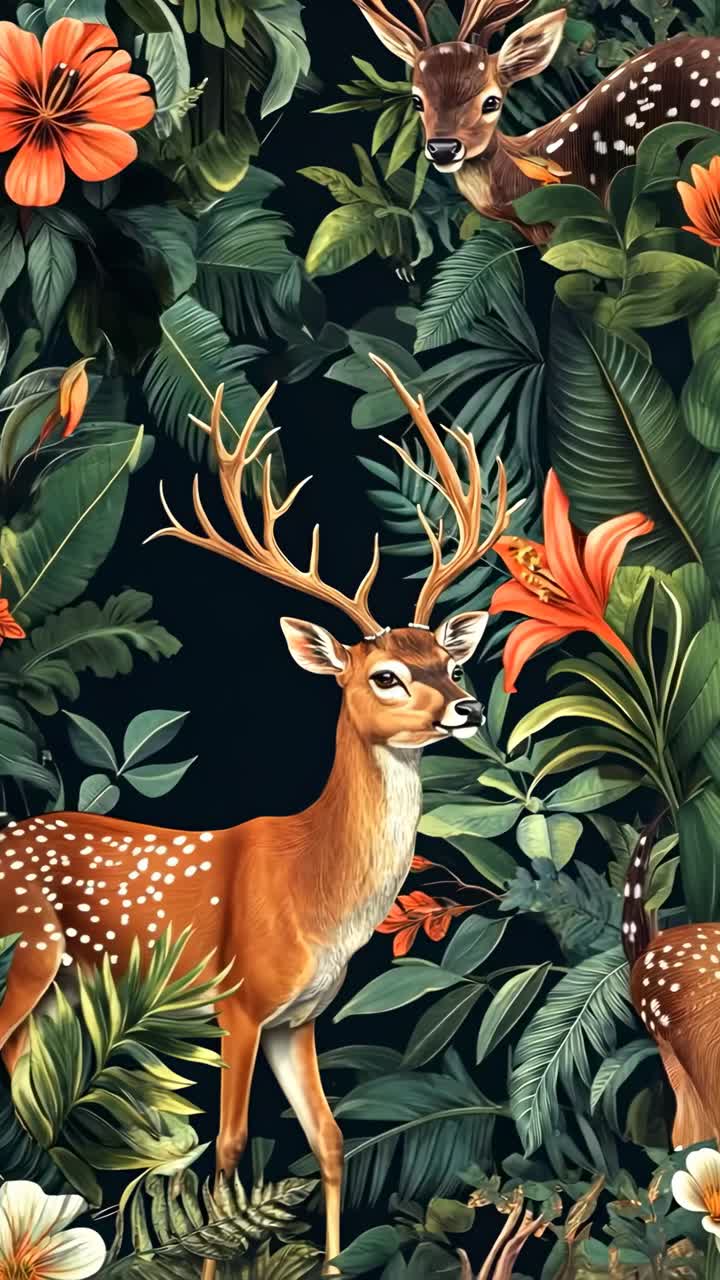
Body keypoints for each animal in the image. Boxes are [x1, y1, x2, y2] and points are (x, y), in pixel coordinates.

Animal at [0, 357, 515, 1278]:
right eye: (384, 675)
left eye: (447, 659)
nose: (466, 709)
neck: (317, 893)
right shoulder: (236, 1005)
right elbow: (232, 1154)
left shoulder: (299, 1017)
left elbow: (332, 1141)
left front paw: (339, 1262)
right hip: (27, 949)